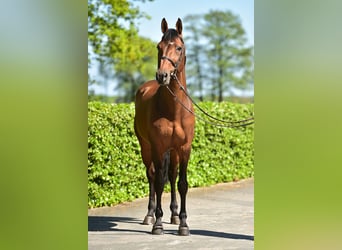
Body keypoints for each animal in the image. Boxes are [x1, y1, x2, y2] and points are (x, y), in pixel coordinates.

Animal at [133, 18, 194, 235]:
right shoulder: (158, 147)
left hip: (173, 151)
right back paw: (150, 215)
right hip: (146, 147)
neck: (174, 110)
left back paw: (174, 215)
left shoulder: (184, 148)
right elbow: (159, 182)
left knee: (172, 176)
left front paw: (183, 224)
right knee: (152, 176)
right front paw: (158, 224)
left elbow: (182, 183)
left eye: (179, 47)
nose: (162, 75)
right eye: (159, 47)